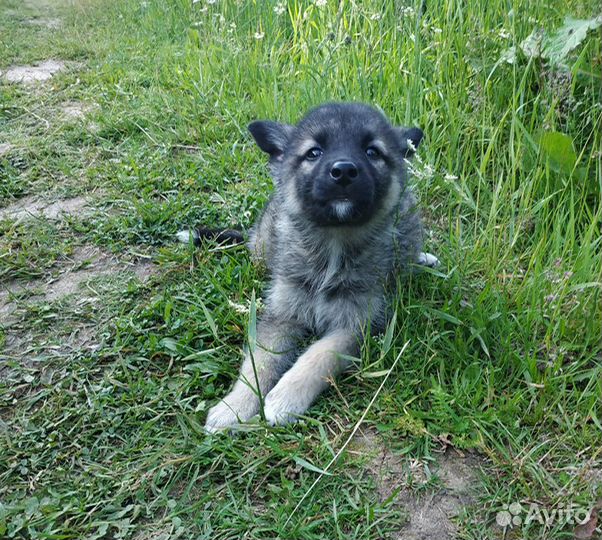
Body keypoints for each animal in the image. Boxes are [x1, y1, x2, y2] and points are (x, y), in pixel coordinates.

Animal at [178, 101, 436, 432]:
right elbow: (258, 362)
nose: (344, 171)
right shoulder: (281, 315)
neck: (333, 243)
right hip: (263, 247)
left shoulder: (358, 323)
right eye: (314, 152)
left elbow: (321, 354)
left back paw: (421, 260)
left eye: (372, 151)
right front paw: (234, 406)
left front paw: (286, 396)